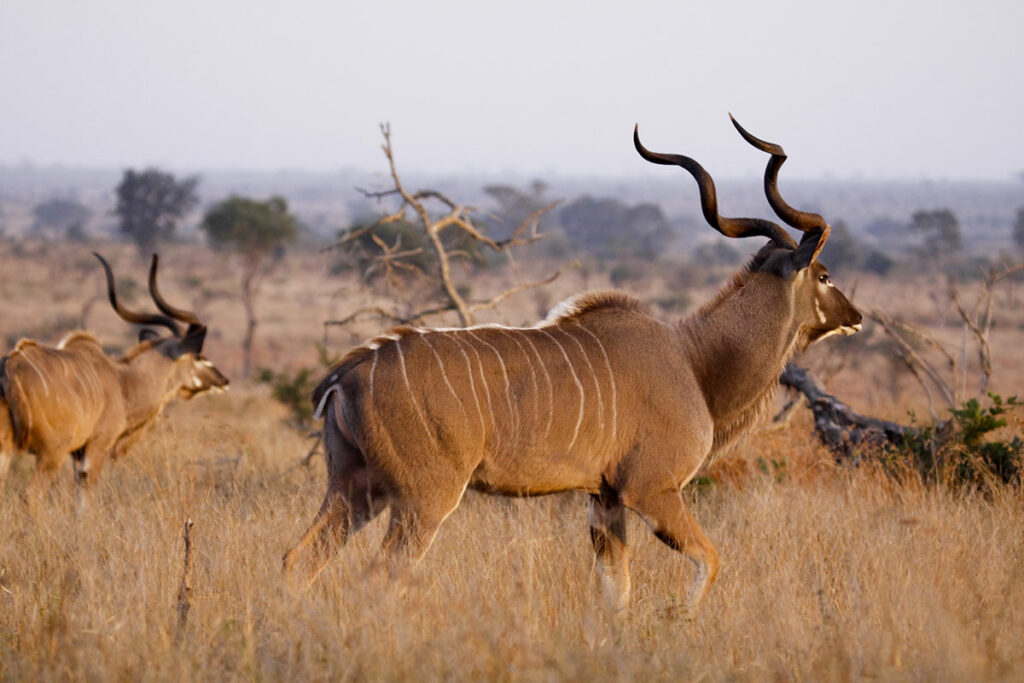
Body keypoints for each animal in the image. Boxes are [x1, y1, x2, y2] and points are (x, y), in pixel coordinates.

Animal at [0, 250, 228, 491]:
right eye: (199, 357)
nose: (224, 380)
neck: (123, 382)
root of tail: (9, 368)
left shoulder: (77, 453)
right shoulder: (96, 446)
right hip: (50, 453)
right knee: (32, 493)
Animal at [284, 116, 860, 614]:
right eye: (825, 275)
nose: (855, 317)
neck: (694, 362)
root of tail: (347, 373)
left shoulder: (603, 499)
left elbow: (616, 591)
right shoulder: (652, 490)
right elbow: (709, 562)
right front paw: (681, 622)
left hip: (356, 489)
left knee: (298, 558)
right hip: (424, 499)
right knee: (382, 575)